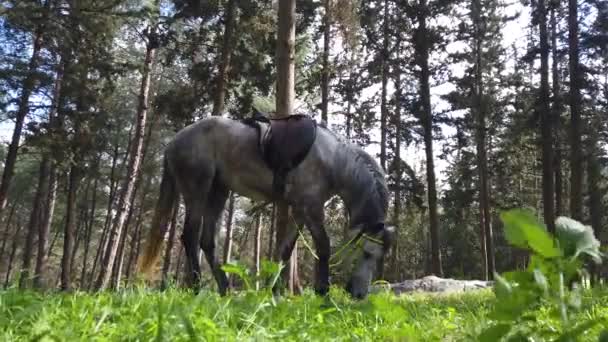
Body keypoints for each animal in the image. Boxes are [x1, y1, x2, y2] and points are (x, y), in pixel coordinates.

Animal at [137, 114, 394, 300]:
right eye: (366, 252)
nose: (359, 294)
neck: (333, 160)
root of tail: (173, 142)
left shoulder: (299, 211)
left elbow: (285, 250)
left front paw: (274, 292)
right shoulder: (311, 209)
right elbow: (323, 246)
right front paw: (323, 292)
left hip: (218, 192)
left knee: (207, 242)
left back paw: (224, 290)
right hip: (197, 190)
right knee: (190, 236)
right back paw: (198, 289)